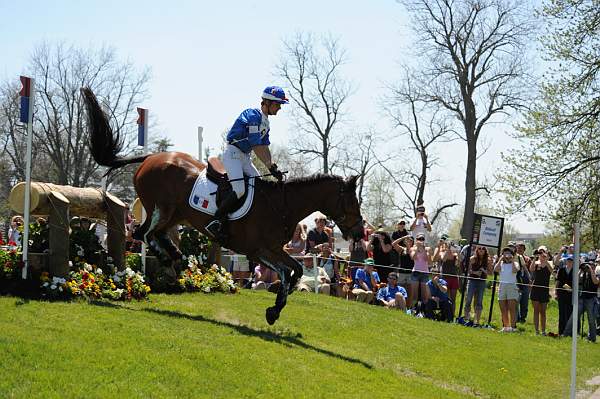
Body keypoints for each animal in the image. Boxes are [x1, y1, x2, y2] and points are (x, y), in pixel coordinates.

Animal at [81, 87, 364, 324]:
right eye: (352, 201)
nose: (360, 233)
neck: (282, 205)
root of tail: (151, 157)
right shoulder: (258, 250)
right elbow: (286, 273)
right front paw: (274, 309)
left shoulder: (273, 249)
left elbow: (294, 270)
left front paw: (276, 308)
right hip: (161, 208)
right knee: (145, 233)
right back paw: (168, 257)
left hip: (176, 215)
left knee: (155, 235)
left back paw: (175, 257)